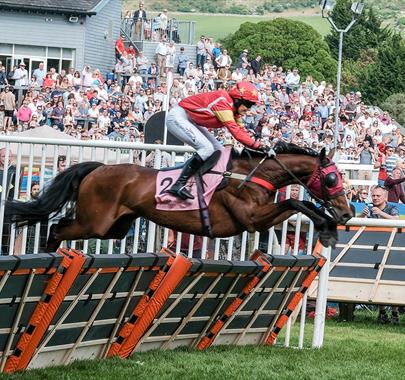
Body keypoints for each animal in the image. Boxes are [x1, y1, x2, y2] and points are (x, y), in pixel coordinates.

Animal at [3, 141, 350, 251]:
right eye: (332, 178)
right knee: (56, 228)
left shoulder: (257, 219)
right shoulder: (250, 219)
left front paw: (329, 225)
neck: (248, 176)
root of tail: (96, 169)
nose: (347, 212)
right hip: (95, 223)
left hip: (116, 227)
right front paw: (327, 228)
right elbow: (295, 201)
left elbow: (299, 202)